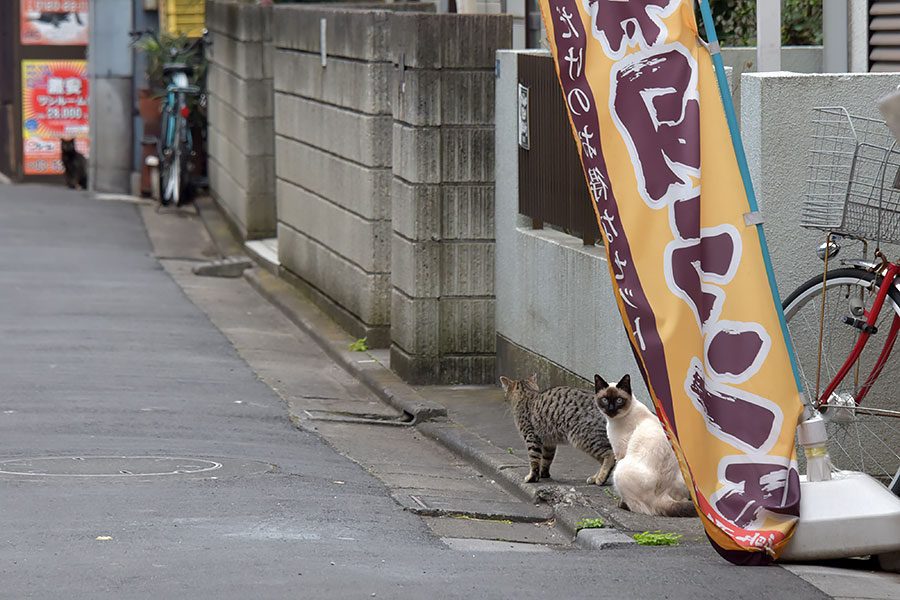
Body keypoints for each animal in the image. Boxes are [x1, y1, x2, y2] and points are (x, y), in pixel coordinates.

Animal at [596, 372, 696, 516]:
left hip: (619, 469)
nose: (611, 409)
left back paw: (622, 504)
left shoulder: (620, 452)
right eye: (604, 400)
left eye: (619, 400)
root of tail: (662, 496)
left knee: (639, 507)